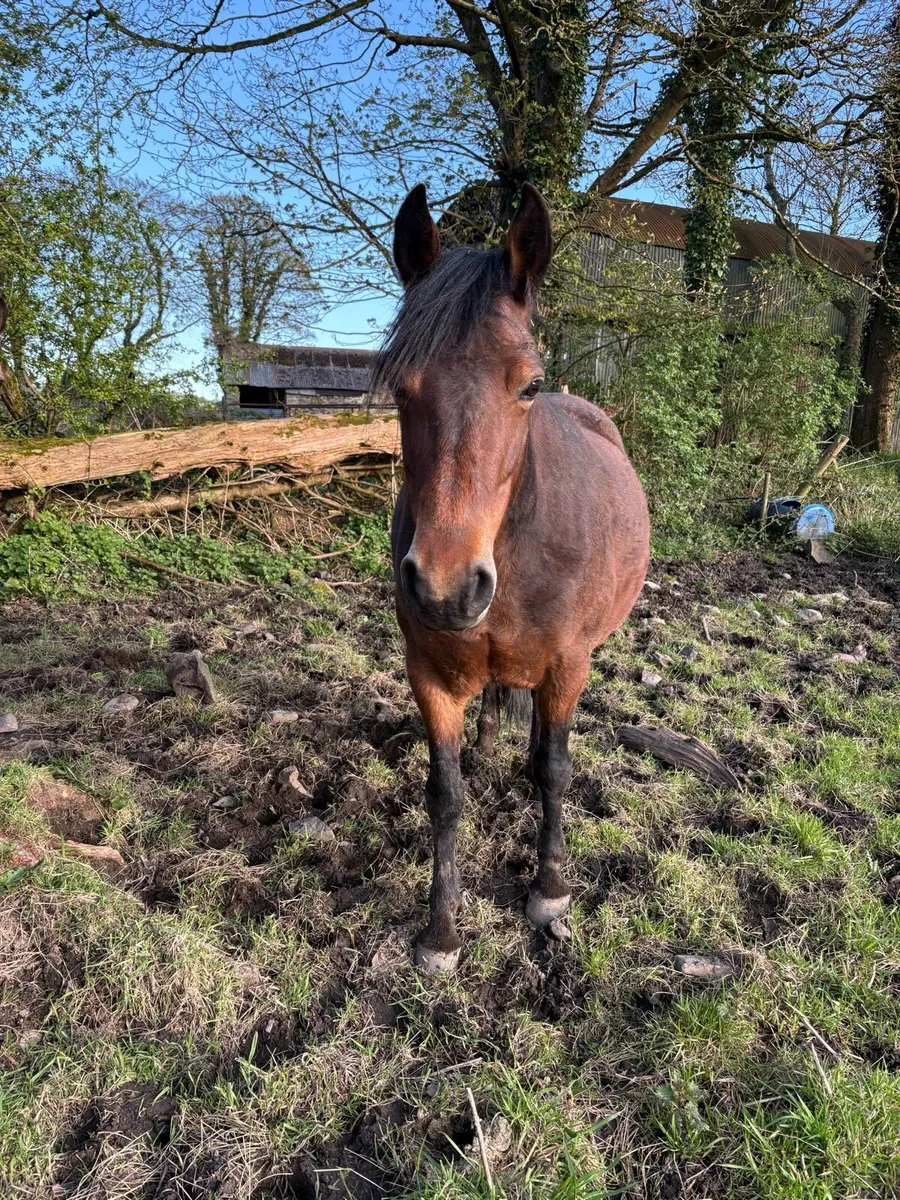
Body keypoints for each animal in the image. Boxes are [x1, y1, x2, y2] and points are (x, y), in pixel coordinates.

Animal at [379, 183, 650, 973]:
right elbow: (444, 794)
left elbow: (557, 772)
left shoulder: (569, 663)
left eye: (527, 385)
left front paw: (549, 892)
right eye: (400, 389)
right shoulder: (427, 672)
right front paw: (440, 930)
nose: (444, 585)